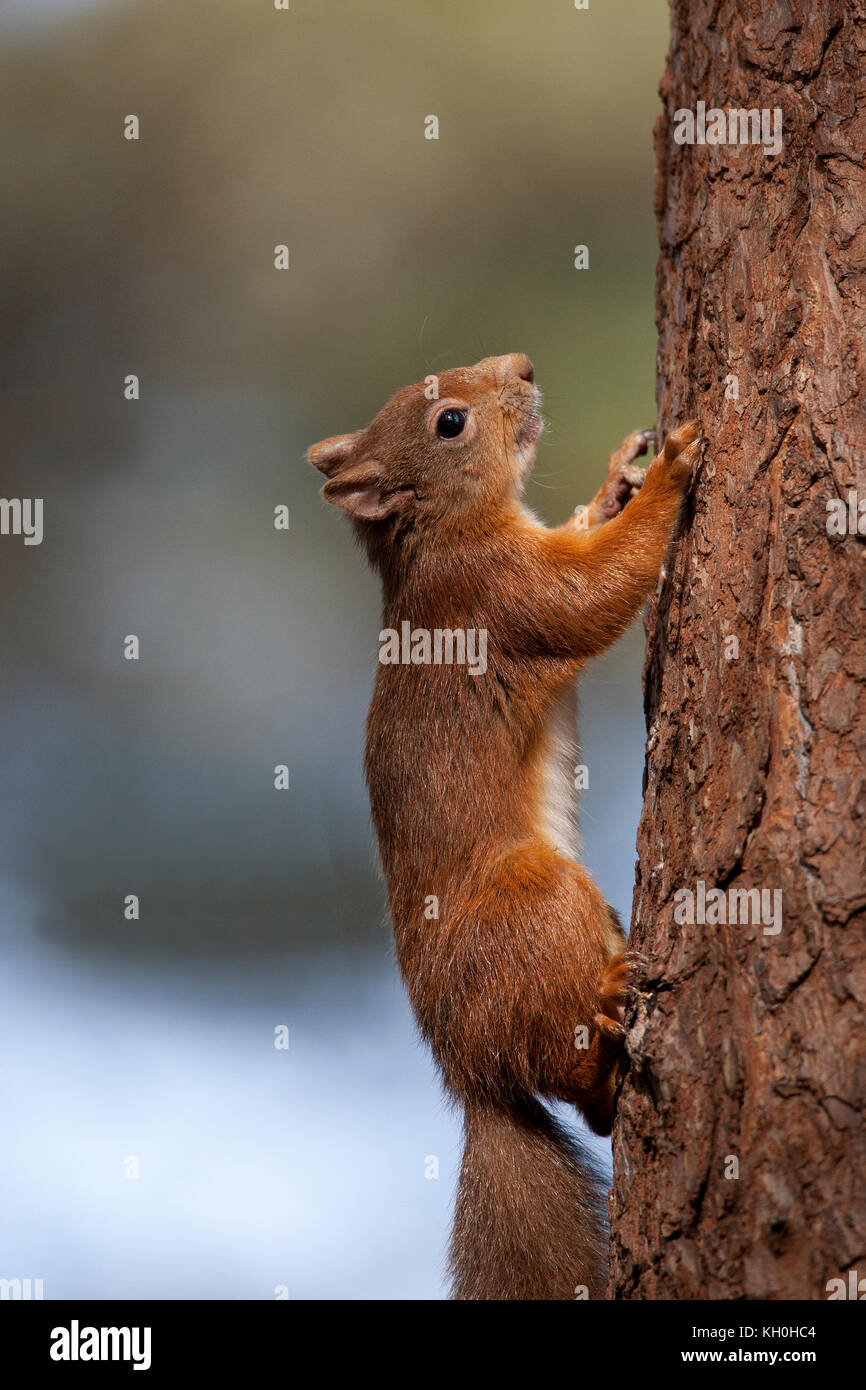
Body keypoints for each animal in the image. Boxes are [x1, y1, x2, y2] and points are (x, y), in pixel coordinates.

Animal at [308, 353, 700, 1295]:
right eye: (450, 423)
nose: (520, 366)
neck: (444, 536)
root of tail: (468, 1074)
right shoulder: (501, 593)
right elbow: (592, 593)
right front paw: (668, 474)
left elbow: (590, 543)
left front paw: (620, 479)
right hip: (537, 899)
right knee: (565, 1061)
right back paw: (614, 996)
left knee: (588, 1107)